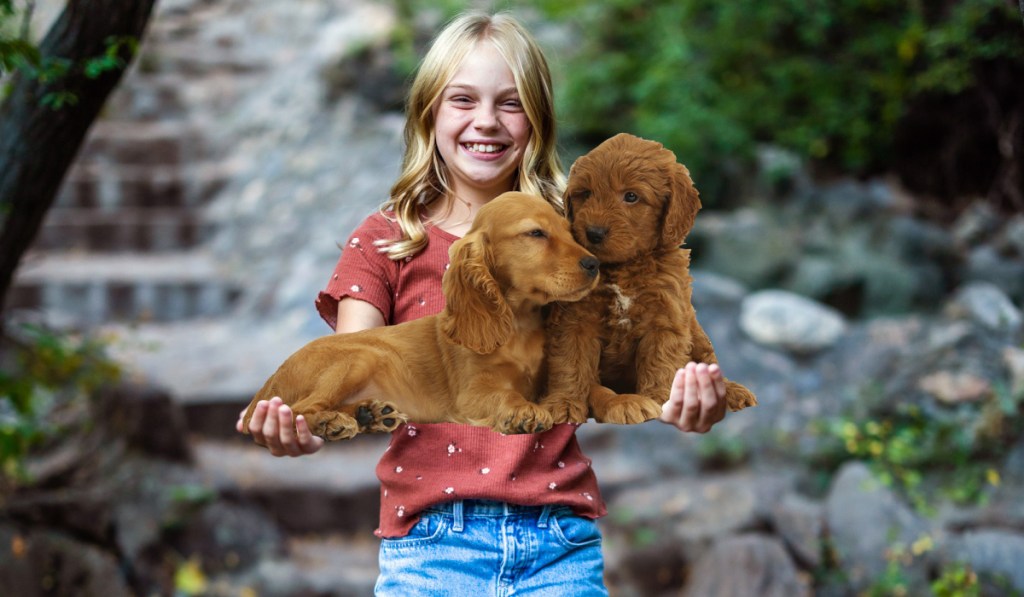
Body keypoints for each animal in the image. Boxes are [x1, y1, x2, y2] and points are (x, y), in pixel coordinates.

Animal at [242, 193, 598, 442]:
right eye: (536, 233)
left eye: (568, 231)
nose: (594, 264)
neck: (519, 324)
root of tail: (268, 385)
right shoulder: (472, 393)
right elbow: (505, 393)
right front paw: (524, 411)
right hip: (357, 358)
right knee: (299, 410)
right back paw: (333, 422)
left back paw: (370, 414)